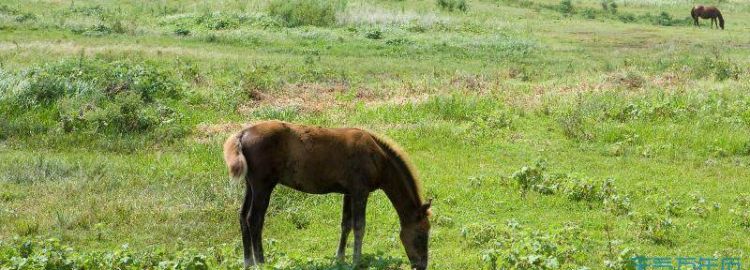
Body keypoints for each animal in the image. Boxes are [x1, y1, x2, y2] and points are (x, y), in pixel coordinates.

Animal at [223, 121, 432, 270]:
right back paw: (261, 262)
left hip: (250, 186)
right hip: (263, 186)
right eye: (422, 234)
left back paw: (248, 262)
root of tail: (243, 134)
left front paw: (340, 258)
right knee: (254, 219)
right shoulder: (360, 191)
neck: (378, 158)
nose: (422, 265)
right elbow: (359, 226)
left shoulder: (349, 192)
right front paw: (356, 261)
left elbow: (346, 225)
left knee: (242, 216)